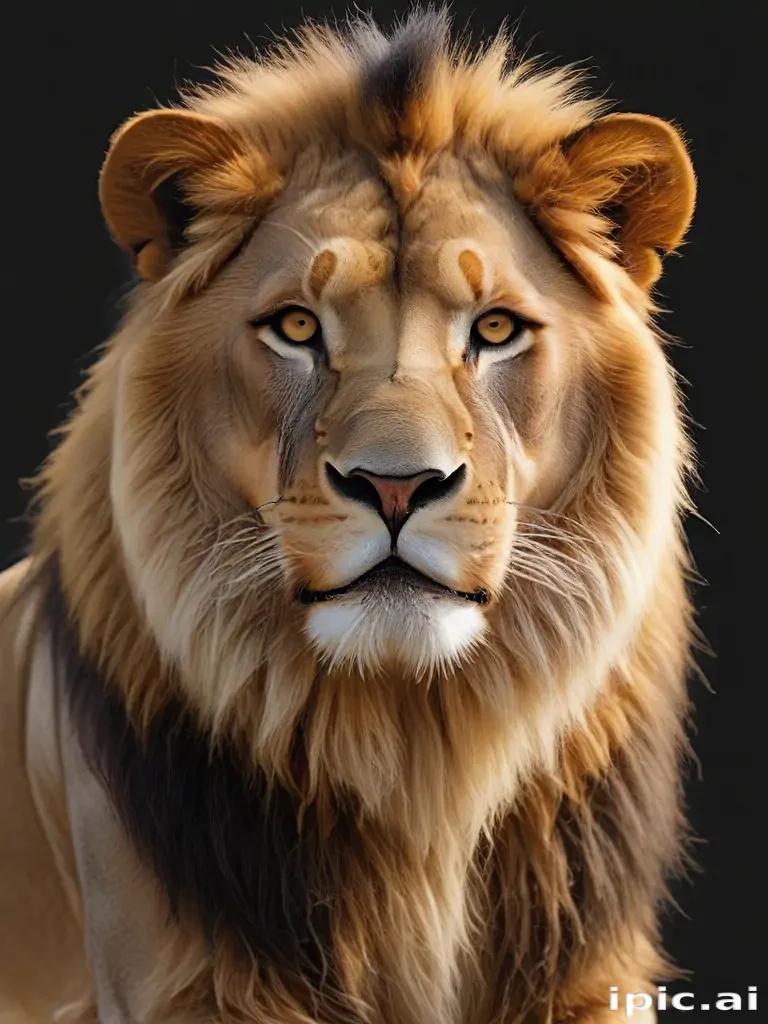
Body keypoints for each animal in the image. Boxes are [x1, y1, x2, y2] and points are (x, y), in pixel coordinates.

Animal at [0, 9, 698, 1023]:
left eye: (494, 330)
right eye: (297, 327)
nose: (398, 487)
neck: (415, 756)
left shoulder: (588, 973)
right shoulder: (172, 985)